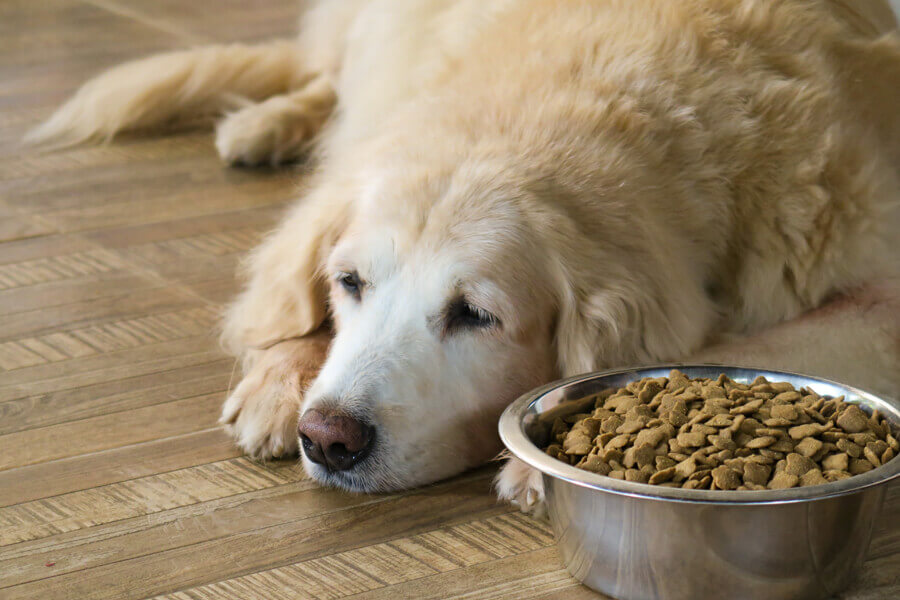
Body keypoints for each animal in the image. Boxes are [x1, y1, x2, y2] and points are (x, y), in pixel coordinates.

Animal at [31, 0, 900, 512]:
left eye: (475, 316)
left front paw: (538, 463)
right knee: (322, 79)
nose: (327, 437)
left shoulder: (873, 288)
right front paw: (282, 374)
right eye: (349, 282)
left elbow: (758, 349)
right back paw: (266, 122)